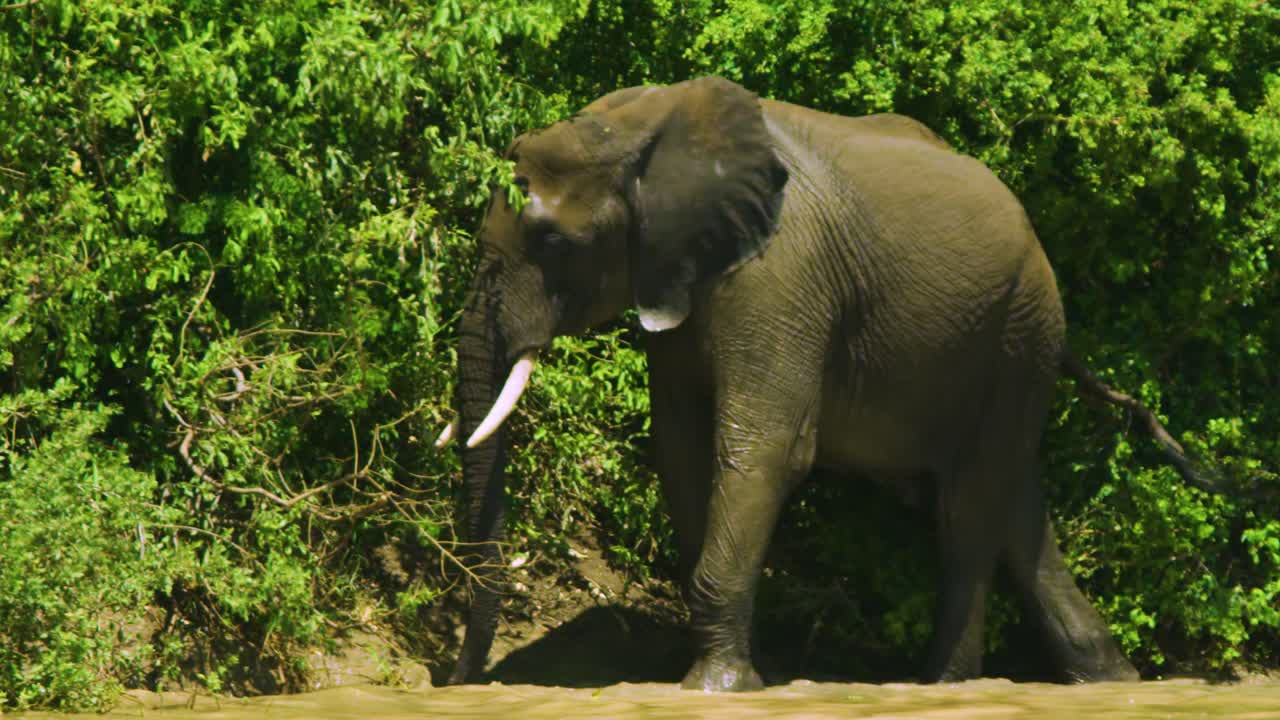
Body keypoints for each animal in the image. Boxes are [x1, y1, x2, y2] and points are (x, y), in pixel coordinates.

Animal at [437, 76, 1212, 691]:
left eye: (552, 242)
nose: (457, 679)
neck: (640, 126)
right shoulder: (679, 276)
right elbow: (682, 446)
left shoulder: (783, 275)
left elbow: (763, 450)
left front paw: (718, 688)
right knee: (1015, 499)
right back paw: (1110, 682)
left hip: (1022, 327)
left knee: (969, 505)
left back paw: (948, 687)